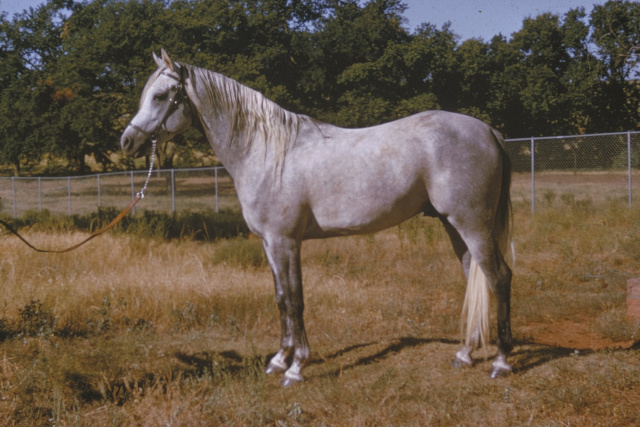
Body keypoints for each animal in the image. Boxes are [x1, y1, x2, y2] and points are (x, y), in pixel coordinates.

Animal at [121, 51, 516, 388]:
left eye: (160, 96)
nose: (127, 142)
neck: (267, 152)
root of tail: (488, 131)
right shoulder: (270, 243)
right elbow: (281, 297)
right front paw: (278, 360)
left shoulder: (286, 242)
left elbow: (296, 300)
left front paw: (296, 368)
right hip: (454, 226)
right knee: (474, 276)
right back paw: (465, 354)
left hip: (472, 224)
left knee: (499, 277)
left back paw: (501, 362)